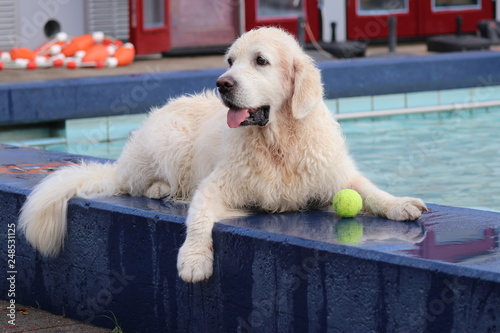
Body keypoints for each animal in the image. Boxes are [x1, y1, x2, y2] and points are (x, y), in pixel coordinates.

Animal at [18, 27, 426, 280]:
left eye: (260, 61)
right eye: (230, 61)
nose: (222, 84)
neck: (278, 141)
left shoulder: (336, 175)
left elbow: (370, 190)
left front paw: (400, 203)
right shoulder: (215, 186)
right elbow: (199, 219)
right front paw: (194, 259)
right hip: (168, 142)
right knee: (132, 183)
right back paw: (159, 189)